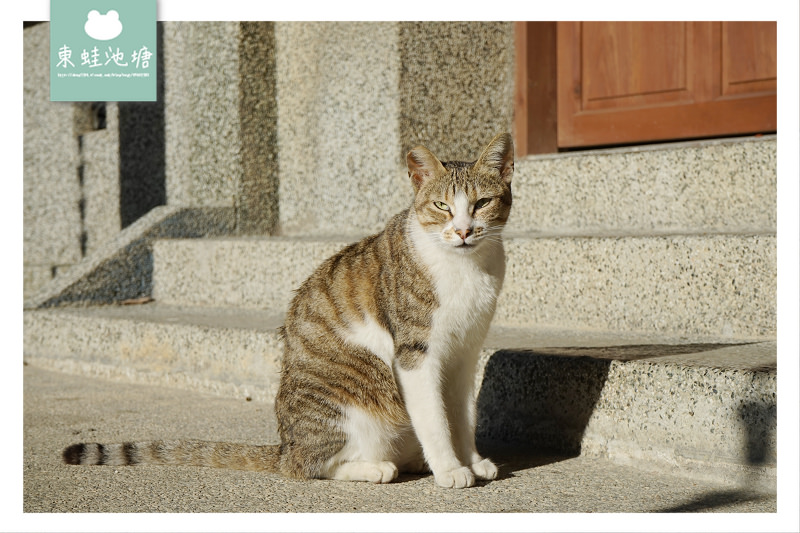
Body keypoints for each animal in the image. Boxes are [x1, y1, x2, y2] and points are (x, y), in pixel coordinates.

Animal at [61, 132, 512, 486]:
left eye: (482, 203)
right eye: (442, 206)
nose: (463, 231)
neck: (466, 268)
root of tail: (283, 444)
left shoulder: (464, 352)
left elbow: (462, 414)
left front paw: (472, 461)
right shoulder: (416, 353)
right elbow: (435, 418)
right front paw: (450, 469)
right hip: (353, 399)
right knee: (308, 465)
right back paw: (376, 468)